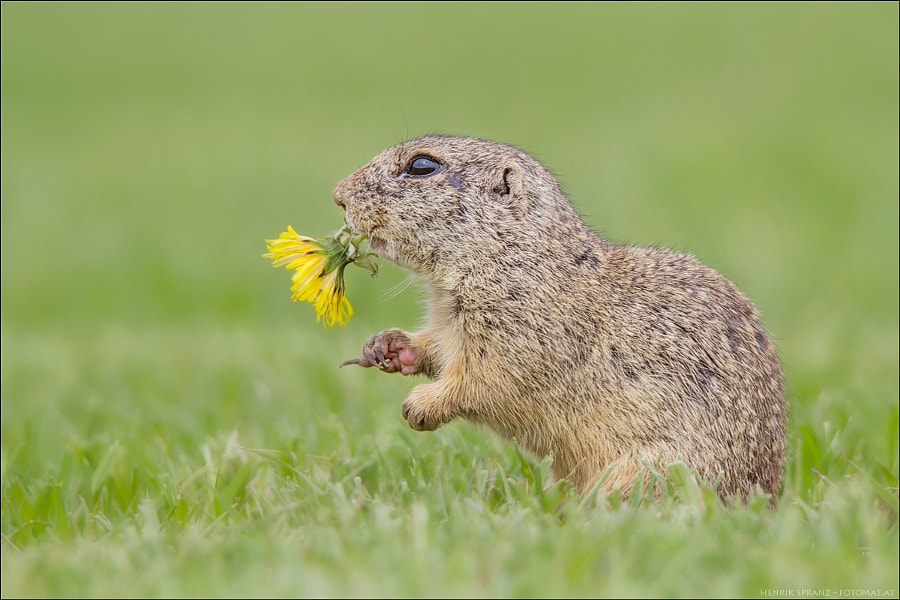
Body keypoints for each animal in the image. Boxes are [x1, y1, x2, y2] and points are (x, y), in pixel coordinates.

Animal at [334, 134, 784, 500]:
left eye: (422, 166)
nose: (338, 194)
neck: (511, 253)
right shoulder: (450, 327)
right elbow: (436, 351)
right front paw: (387, 346)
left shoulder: (522, 332)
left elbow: (484, 381)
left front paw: (419, 406)